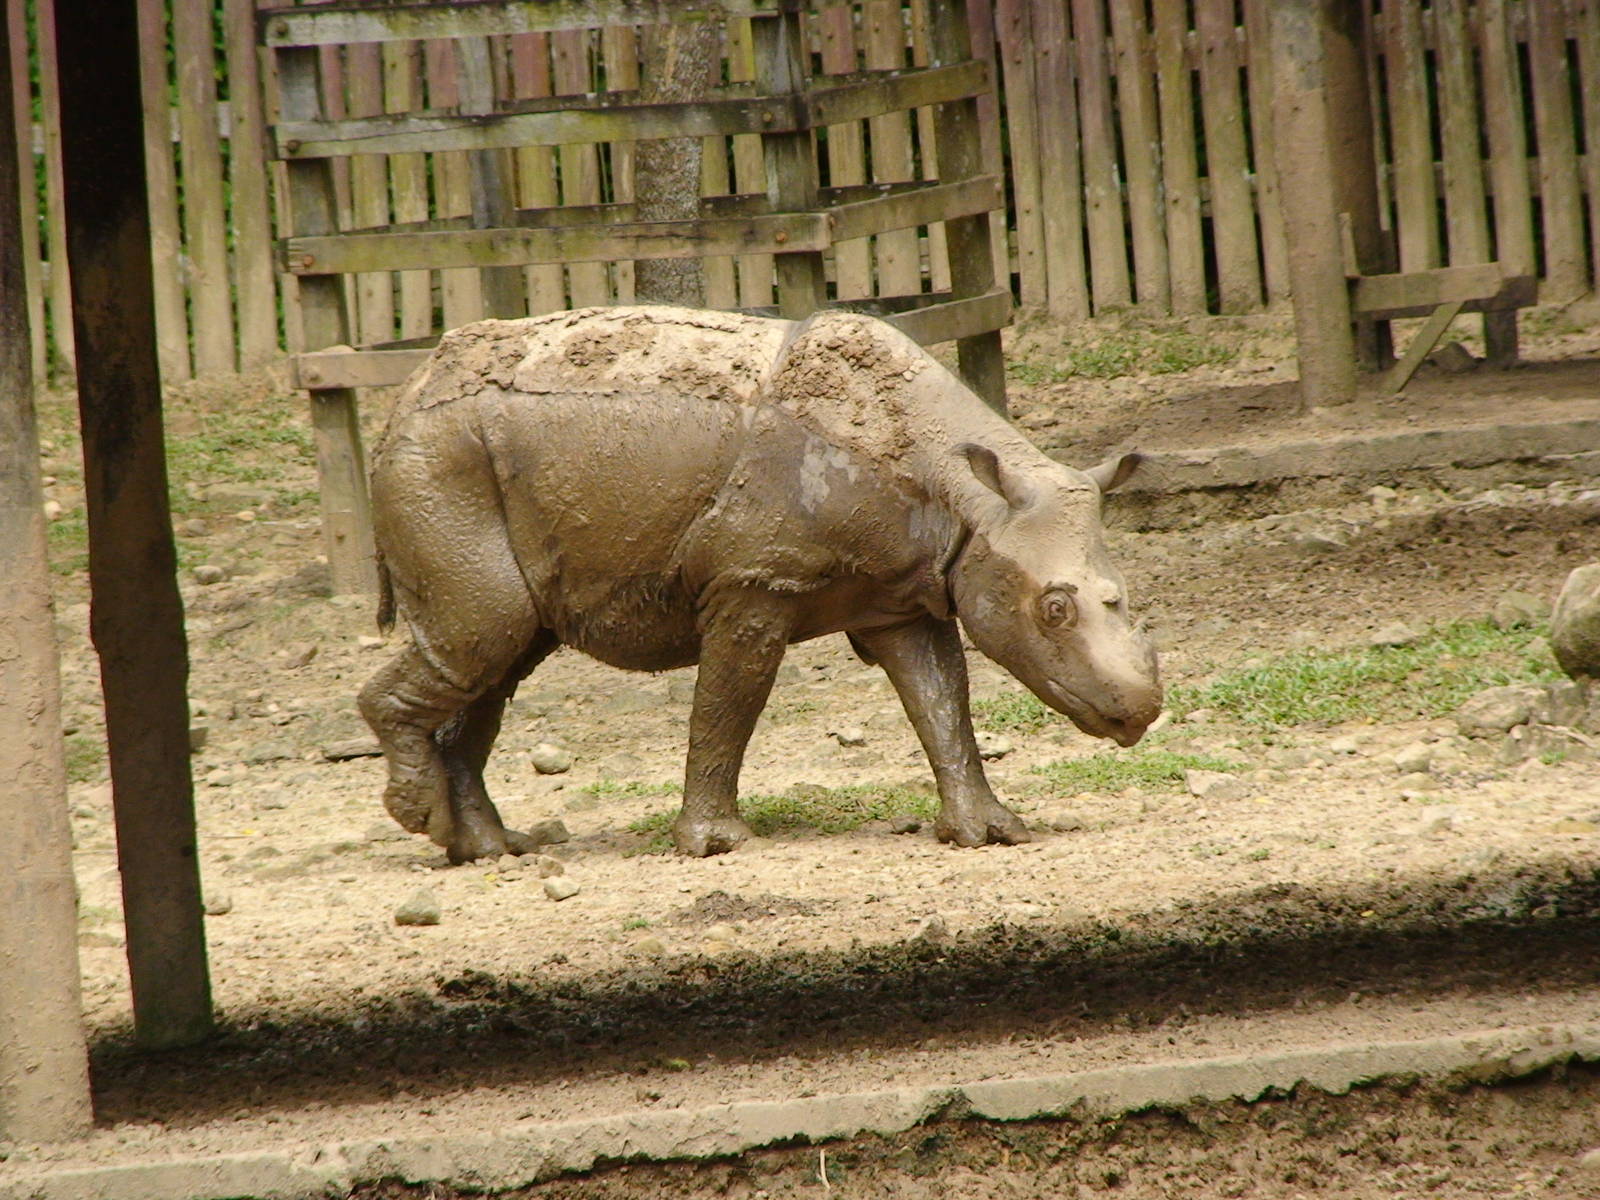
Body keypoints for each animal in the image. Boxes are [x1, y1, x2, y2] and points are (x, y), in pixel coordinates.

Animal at [359, 306, 1162, 862]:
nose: (1140, 713)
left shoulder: (902, 596)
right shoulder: (755, 580)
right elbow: (730, 702)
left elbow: (941, 701)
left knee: (499, 656)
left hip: (471, 464)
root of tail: (403, 399)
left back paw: (487, 849)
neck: (965, 492)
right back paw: (424, 818)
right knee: (481, 636)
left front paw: (990, 833)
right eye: (1053, 609)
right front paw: (716, 845)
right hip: (439, 460)